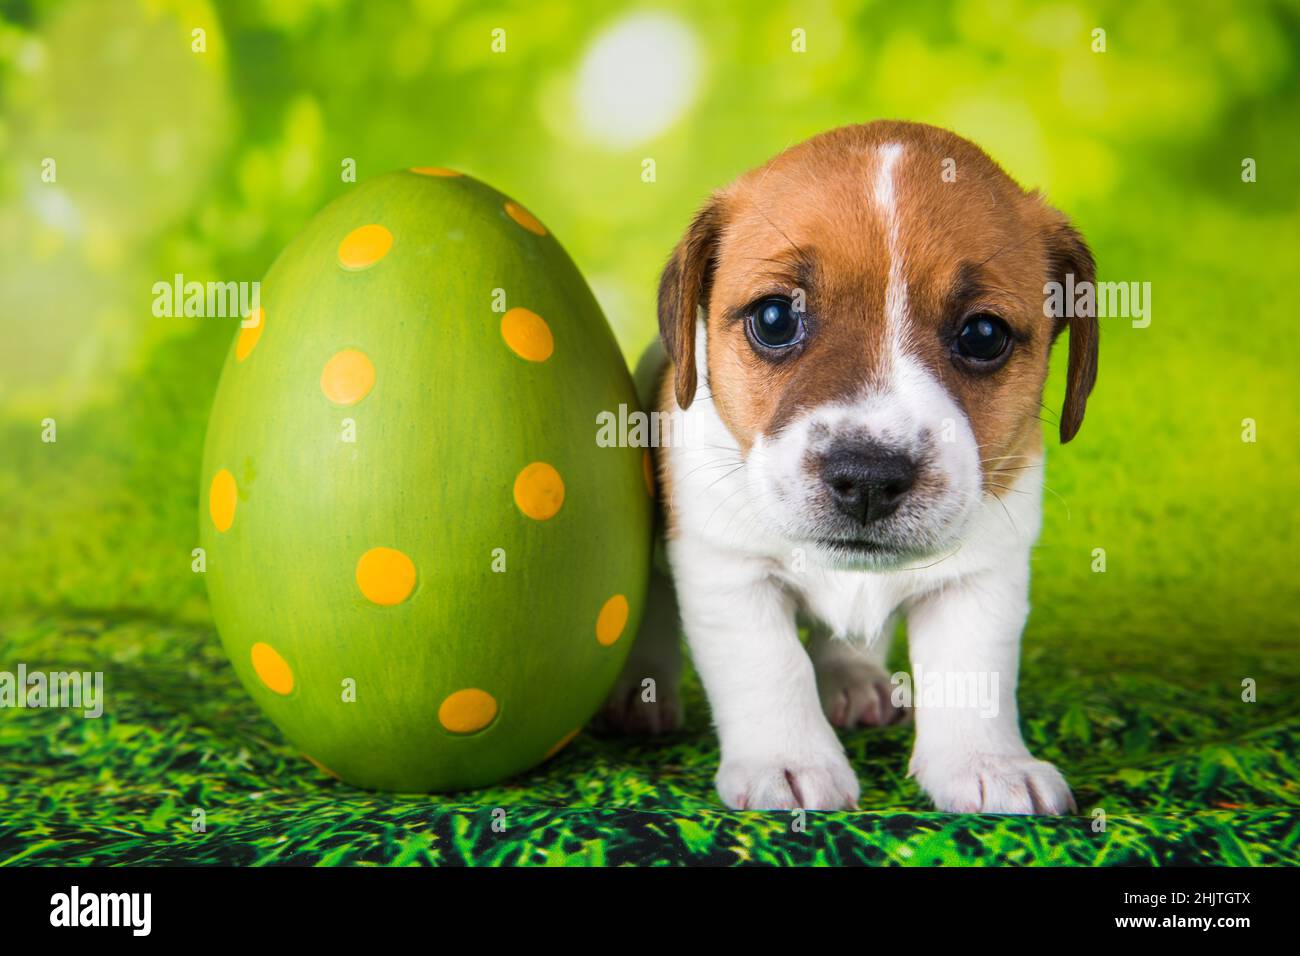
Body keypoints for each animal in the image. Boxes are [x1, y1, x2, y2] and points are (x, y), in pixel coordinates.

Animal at [600, 121, 1097, 816]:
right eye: (775, 318)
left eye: (983, 335)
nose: (867, 478)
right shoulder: (727, 569)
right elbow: (769, 667)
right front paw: (787, 763)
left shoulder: (981, 576)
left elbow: (974, 675)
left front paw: (988, 764)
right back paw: (640, 692)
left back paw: (855, 681)